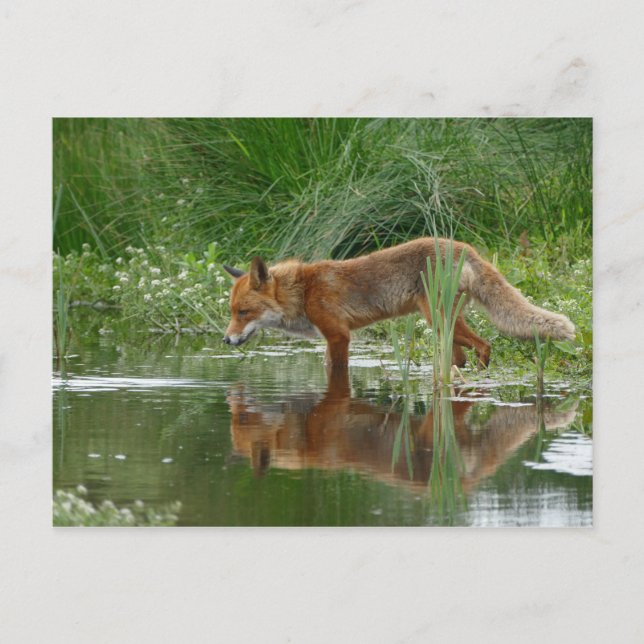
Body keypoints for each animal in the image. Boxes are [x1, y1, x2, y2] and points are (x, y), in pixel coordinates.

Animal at [222, 237, 575, 368]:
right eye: (232, 312)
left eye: (244, 312)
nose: (225, 340)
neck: (304, 291)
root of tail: (464, 246)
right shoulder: (331, 338)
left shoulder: (339, 336)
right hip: (446, 327)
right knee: (463, 355)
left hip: (438, 320)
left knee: (485, 345)